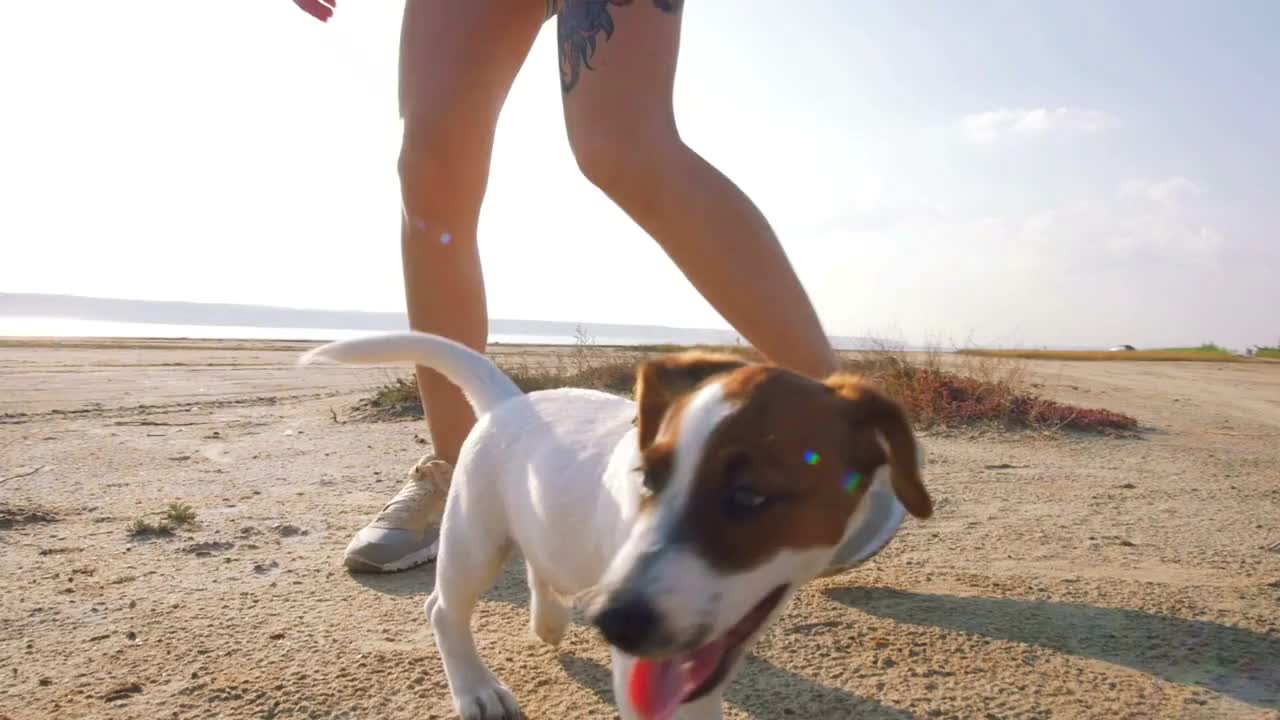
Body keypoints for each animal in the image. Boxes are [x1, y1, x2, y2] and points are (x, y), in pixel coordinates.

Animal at [304, 330, 936, 717]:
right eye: (648, 478)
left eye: (751, 496)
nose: (612, 622)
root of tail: (510, 400)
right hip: (473, 538)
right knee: (444, 610)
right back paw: (477, 689)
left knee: (540, 559)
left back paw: (549, 619)